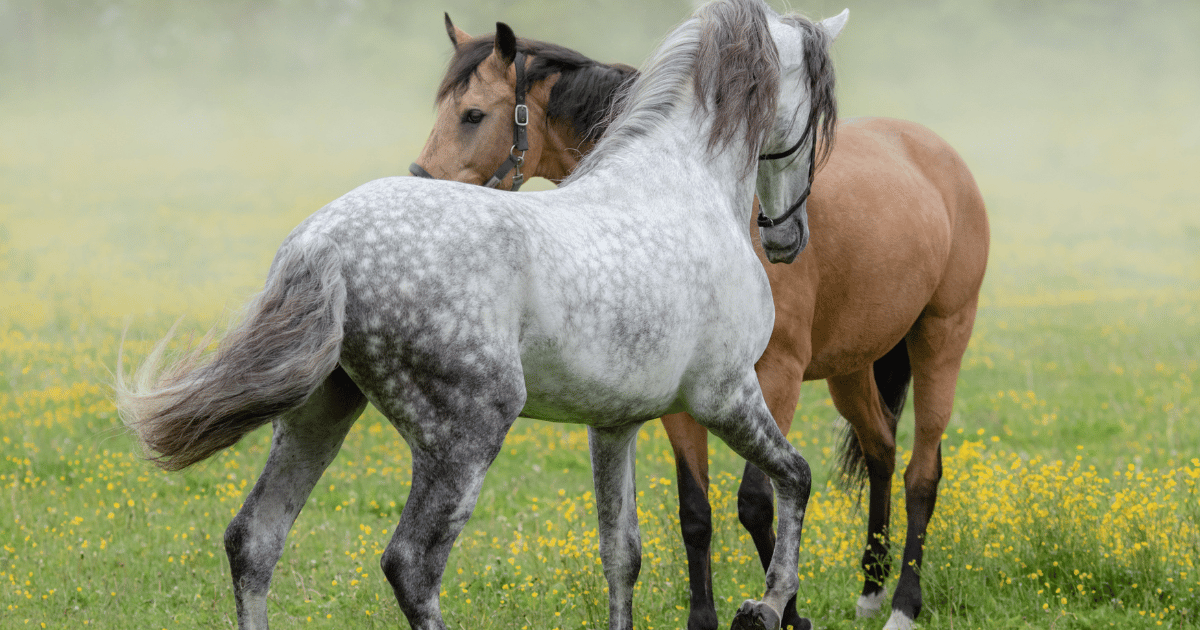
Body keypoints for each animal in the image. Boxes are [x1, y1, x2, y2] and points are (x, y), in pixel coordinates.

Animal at [117, 1, 847, 629]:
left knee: (255, 539)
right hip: (466, 433)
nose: (788, 236)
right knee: (411, 565)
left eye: (471, 114)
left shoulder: (615, 424)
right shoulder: (723, 394)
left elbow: (621, 555)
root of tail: (324, 242)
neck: (683, 182)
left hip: (319, 413)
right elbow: (796, 477)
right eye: (816, 113)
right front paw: (768, 606)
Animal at [409, 16, 989, 630]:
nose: (420, 184)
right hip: (850, 370)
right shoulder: (682, 399)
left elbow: (759, 501)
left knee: (921, 474)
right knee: (880, 449)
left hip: (941, 338)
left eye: (473, 114)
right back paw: (872, 588)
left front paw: (787, 612)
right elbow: (697, 512)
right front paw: (714, 616)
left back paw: (903, 602)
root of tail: (937, 154)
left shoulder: (773, 377)